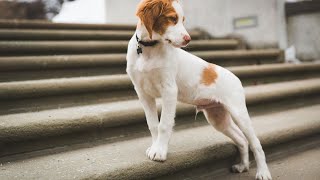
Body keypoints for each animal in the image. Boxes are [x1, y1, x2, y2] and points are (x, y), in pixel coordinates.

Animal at [126, 0, 272, 179]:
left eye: (182, 20)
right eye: (172, 19)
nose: (188, 39)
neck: (148, 50)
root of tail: (236, 78)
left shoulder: (169, 90)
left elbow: (164, 124)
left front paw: (160, 152)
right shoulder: (142, 93)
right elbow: (153, 124)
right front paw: (155, 147)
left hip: (239, 113)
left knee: (255, 143)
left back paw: (263, 172)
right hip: (218, 117)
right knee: (242, 139)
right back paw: (242, 166)